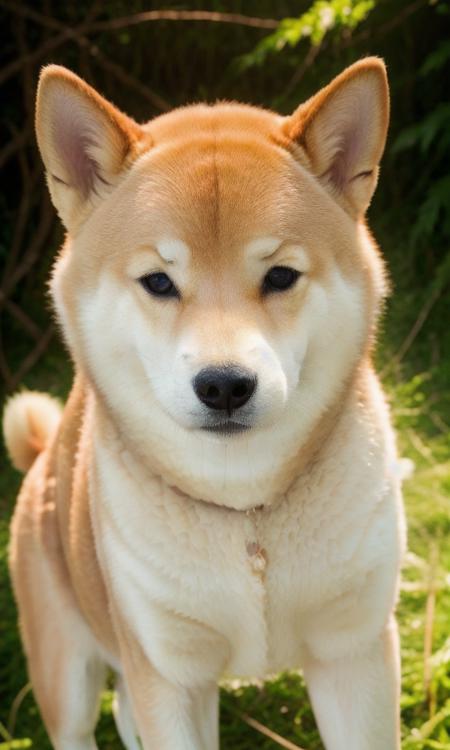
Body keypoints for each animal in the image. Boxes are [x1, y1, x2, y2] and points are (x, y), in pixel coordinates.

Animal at [3, 60, 404, 750]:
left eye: (280, 276)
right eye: (159, 282)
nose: (223, 385)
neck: (248, 520)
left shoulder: (355, 654)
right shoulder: (169, 675)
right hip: (68, 671)